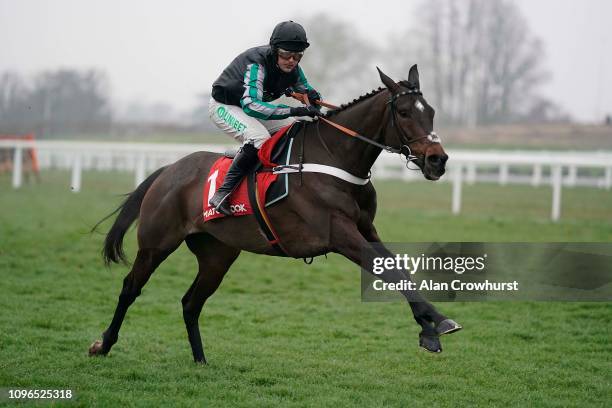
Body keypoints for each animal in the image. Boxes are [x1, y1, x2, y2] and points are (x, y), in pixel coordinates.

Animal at [88, 67, 462, 364]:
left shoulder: (366, 229)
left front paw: (431, 327)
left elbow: (398, 270)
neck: (334, 157)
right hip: (156, 244)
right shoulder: (339, 234)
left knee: (191, 303)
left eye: (430, 111)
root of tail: (167, 170)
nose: (438, 160)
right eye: (404, 111)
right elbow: (390, 272)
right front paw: (437, 323)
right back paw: (103, 344)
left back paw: (200, 360)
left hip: (217, 254)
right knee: (130, 288)